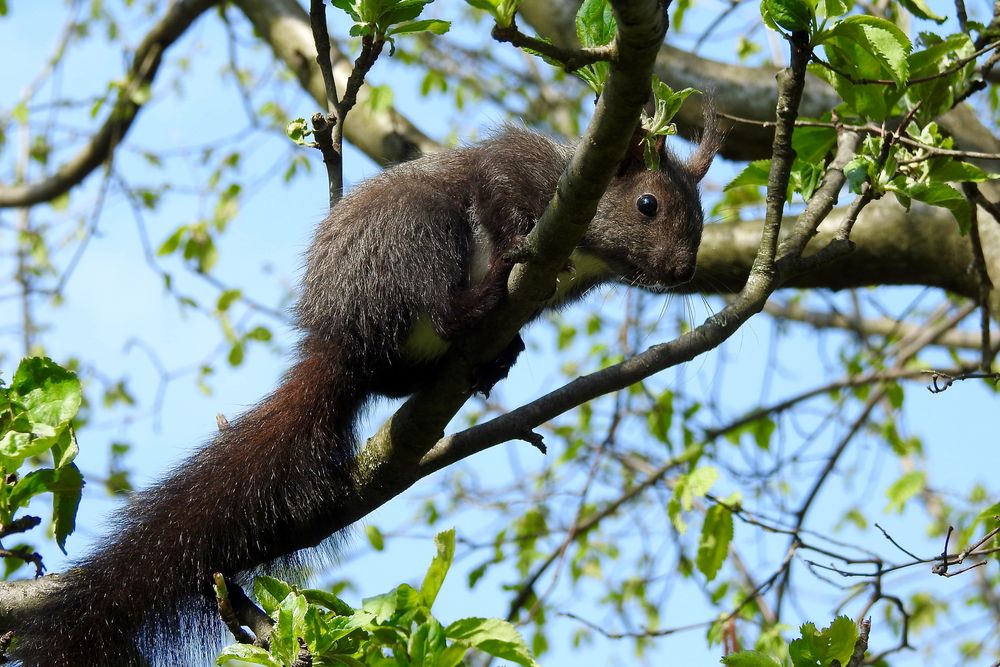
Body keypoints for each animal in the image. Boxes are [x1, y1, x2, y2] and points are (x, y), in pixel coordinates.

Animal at [11, 111, 724, 667]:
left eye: (701, 215)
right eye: (648, 205)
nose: (683, 269)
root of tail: (338, 343)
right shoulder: (509, 171)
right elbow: (498, 198)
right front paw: (517, 237)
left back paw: (491, 358)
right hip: (413, 239)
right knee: (439, 304)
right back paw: (480, 302)